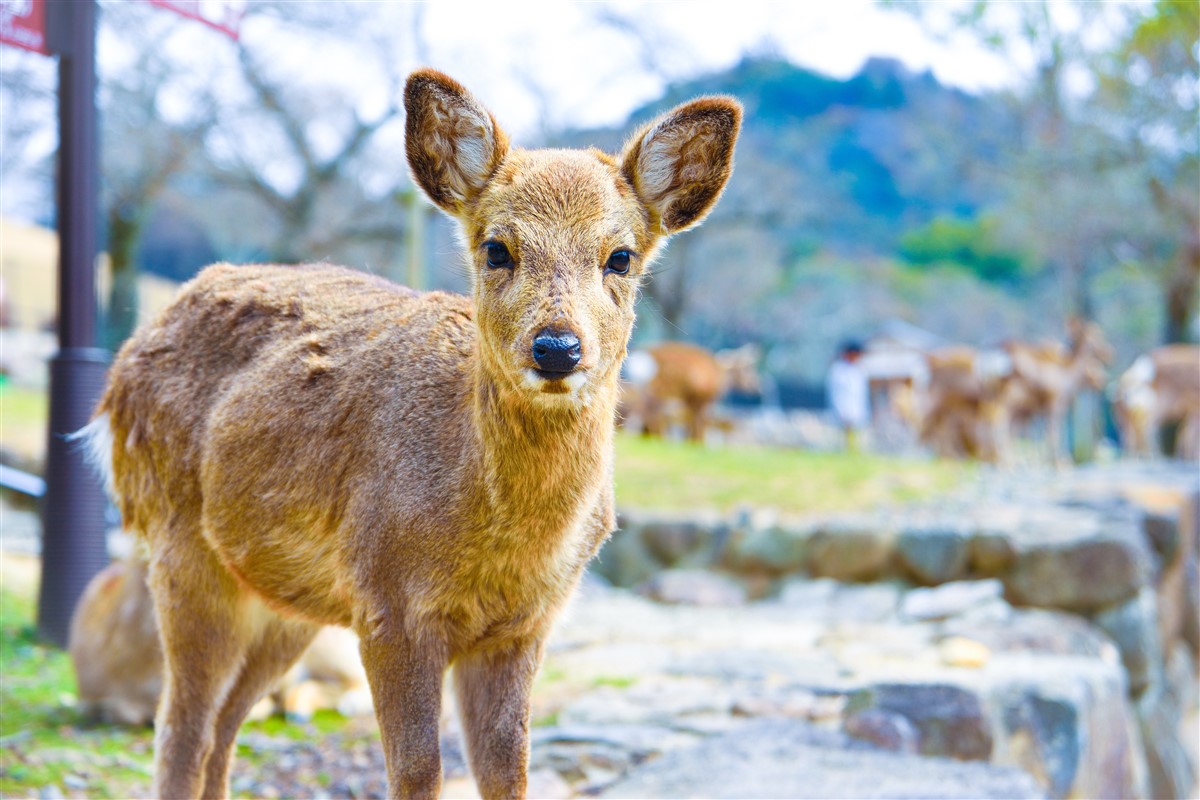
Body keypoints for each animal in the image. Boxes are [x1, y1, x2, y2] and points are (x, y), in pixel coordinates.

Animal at [77, 69, 740, 799]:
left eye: (620, 256)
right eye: (496, 248)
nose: (557, 347)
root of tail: (119, 374)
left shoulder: (526, 623)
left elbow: (509, 772)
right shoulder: (388, 604)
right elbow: (419, 771)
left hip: (289, 597)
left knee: (225, 724)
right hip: (179, 543)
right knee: (180, 727)